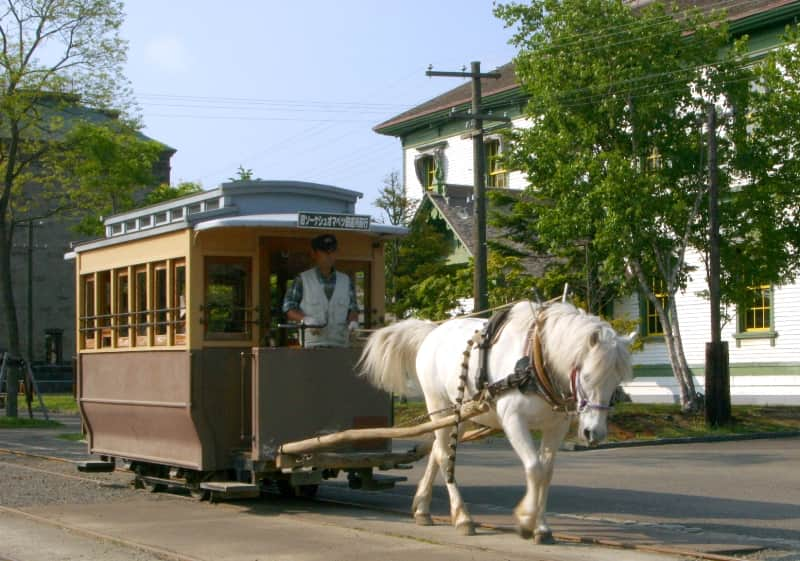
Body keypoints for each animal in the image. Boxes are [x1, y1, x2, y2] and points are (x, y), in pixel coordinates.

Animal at [360, 302, 636, 544]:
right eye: (587, 376)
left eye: (616, 380)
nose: (594, 433)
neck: (534, 359)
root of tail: (432, 331)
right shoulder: (513, 419)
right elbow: (534, 468)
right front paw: (526, 521)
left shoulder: (555, 427)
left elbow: (546, 473)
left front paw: (541, 527)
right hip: (438, 405)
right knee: (445, 455)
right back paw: (462, 517)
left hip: (460, 414)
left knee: (438, 451)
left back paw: (423, 508)